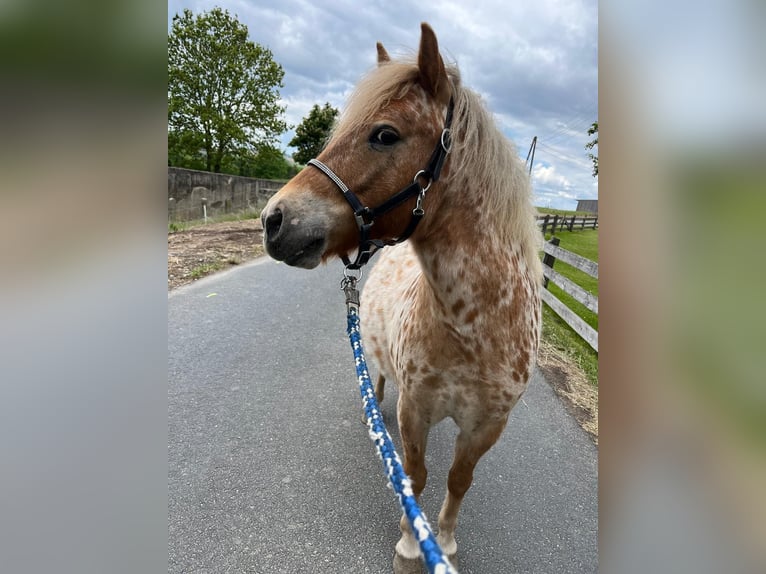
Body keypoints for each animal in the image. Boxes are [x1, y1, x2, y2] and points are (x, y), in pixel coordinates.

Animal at [261, 23, 542, 573]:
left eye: (385, 134)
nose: (273, 219)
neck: (476, 327)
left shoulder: (486, 426)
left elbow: (458, 480)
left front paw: (444, 541)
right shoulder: (417, 408)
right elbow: (415, 475)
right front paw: (413, 544)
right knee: (378, 375)